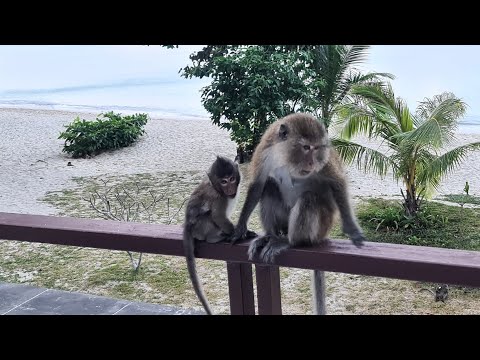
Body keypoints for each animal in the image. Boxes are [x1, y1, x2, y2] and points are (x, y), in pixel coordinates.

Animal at [231, 114, 366, 262]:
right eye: (306, 147)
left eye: (316, 148)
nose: (311, 163)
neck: (285, 157)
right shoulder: (265, 149)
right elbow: (258, 185)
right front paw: (240, 227)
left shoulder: (324, 159)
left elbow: (337, 182)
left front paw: (351, 229)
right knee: (269, 187)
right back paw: (270, 236)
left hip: (322, 228)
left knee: (308, 198)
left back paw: (291, 242)